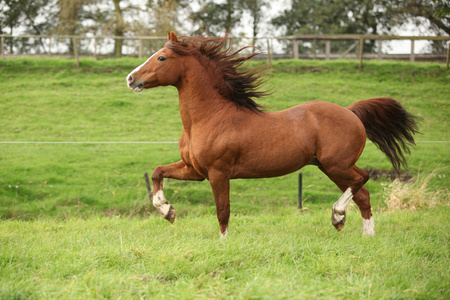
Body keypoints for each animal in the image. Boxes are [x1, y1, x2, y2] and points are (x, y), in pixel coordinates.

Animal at [125, 30, 418, 237]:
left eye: (161, 57)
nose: (130, 78)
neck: (208, 118)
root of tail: (351, 112)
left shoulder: (218, 173)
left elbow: (223, 212)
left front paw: (223, 244)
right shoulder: (195, 170)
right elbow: (157, 172)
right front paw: (167, 211)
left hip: (337, 165)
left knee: (362, 180)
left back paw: (337, 216)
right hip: (329, 167)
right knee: (363, 195)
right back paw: (366, 236)